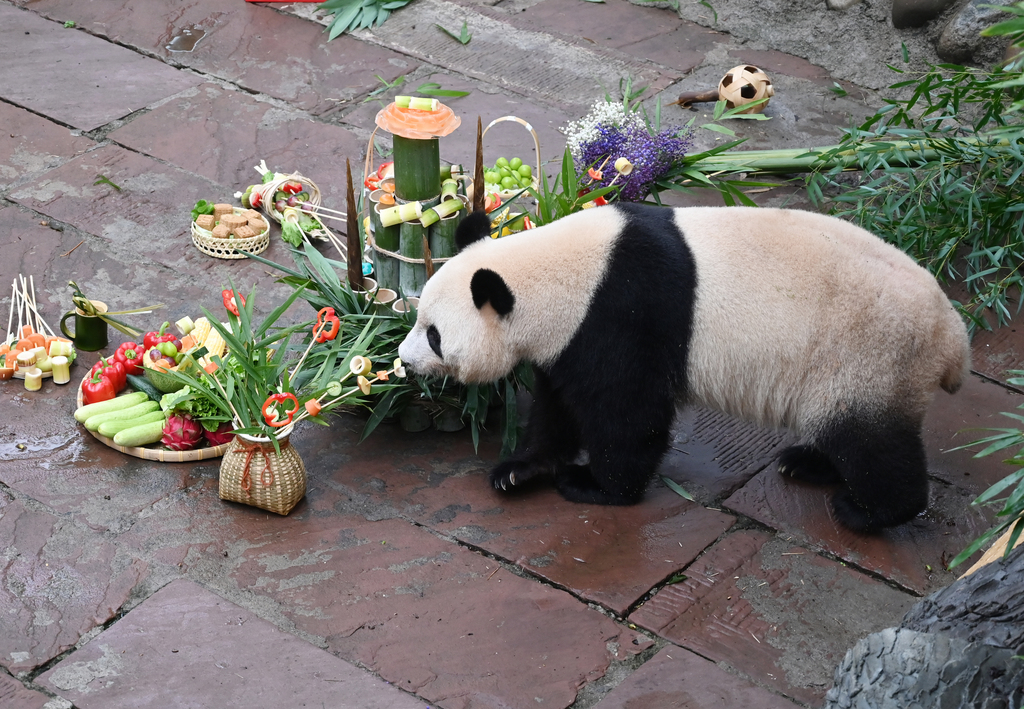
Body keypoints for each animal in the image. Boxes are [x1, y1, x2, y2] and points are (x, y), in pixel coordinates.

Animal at [395, 201, 970, 528]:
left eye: (435, 335)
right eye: (418, 315)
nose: (402, 359)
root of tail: (953, 337)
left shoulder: (623, 314)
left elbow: (629, 415)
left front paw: (595, 486)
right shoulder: (569, 340)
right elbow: (557, 406)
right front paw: (520, 470)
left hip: (868, 354)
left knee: (869, 440)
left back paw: (869, 511)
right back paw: (808, 464)